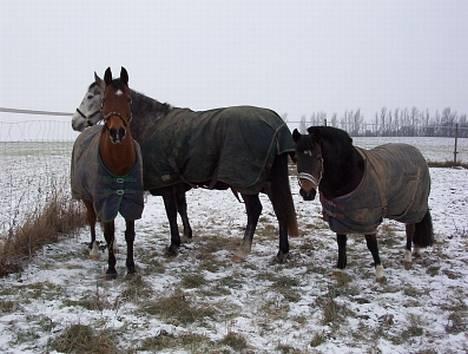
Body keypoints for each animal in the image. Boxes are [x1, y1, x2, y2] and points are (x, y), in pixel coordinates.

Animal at [71, 70, 298, 262]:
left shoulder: (166, 184)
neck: (152, 123)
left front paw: (174, 245)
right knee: (280, 209)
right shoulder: (177, 183)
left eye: (91, 96)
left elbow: (171, 213)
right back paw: (282, 252)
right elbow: (181, 209)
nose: (75, 122)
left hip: (247, 182)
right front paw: (186, 236)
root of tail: (276, 123)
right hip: (267, 181)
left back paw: (244, 249)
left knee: (255, 210)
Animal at [294, 126, 434, 280]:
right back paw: (416, 250)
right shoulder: (339, 218)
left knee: (410, 229)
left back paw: (408, 256)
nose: (307, 193)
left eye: (319, 157)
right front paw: (340, 268)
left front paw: (379, 273)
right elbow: (341, 242)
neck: (349, 174)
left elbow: (371, 244)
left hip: (411, 207)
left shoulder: (368, 218)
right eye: (296, 158)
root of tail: (418, 154)